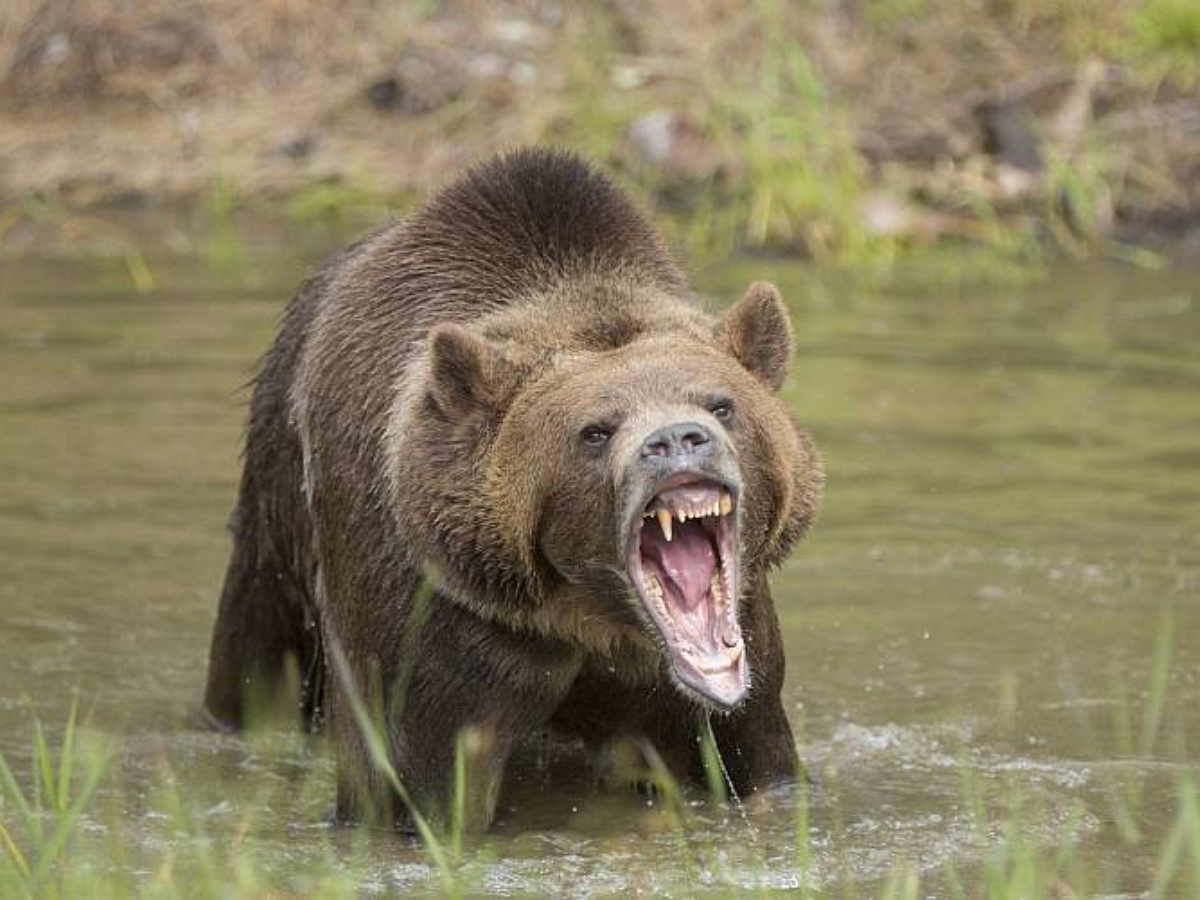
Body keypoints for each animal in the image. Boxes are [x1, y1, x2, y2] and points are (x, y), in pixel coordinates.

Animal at [206, 148, 825, 830]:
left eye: (721, 404)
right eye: (596, 430)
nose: (677, 439)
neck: (591, 614)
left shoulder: (732, 659)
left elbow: (756, 753)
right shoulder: (441, 625)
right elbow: (417, 782)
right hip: (278, 510)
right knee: (257, 649)